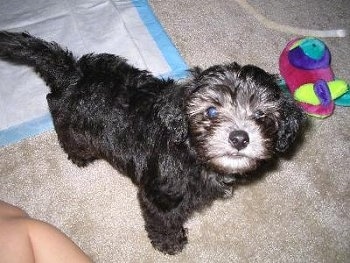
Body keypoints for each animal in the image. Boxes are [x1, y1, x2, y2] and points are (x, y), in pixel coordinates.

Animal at [0, 31, 306, 256]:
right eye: (211, 111)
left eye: (262, 115)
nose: (240, 137)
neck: (190, 151)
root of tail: (73, 72)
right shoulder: (158, 198)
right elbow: (162, 223)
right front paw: (170, 244)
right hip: (72, 125)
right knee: (58, 117)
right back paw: (78, 155)